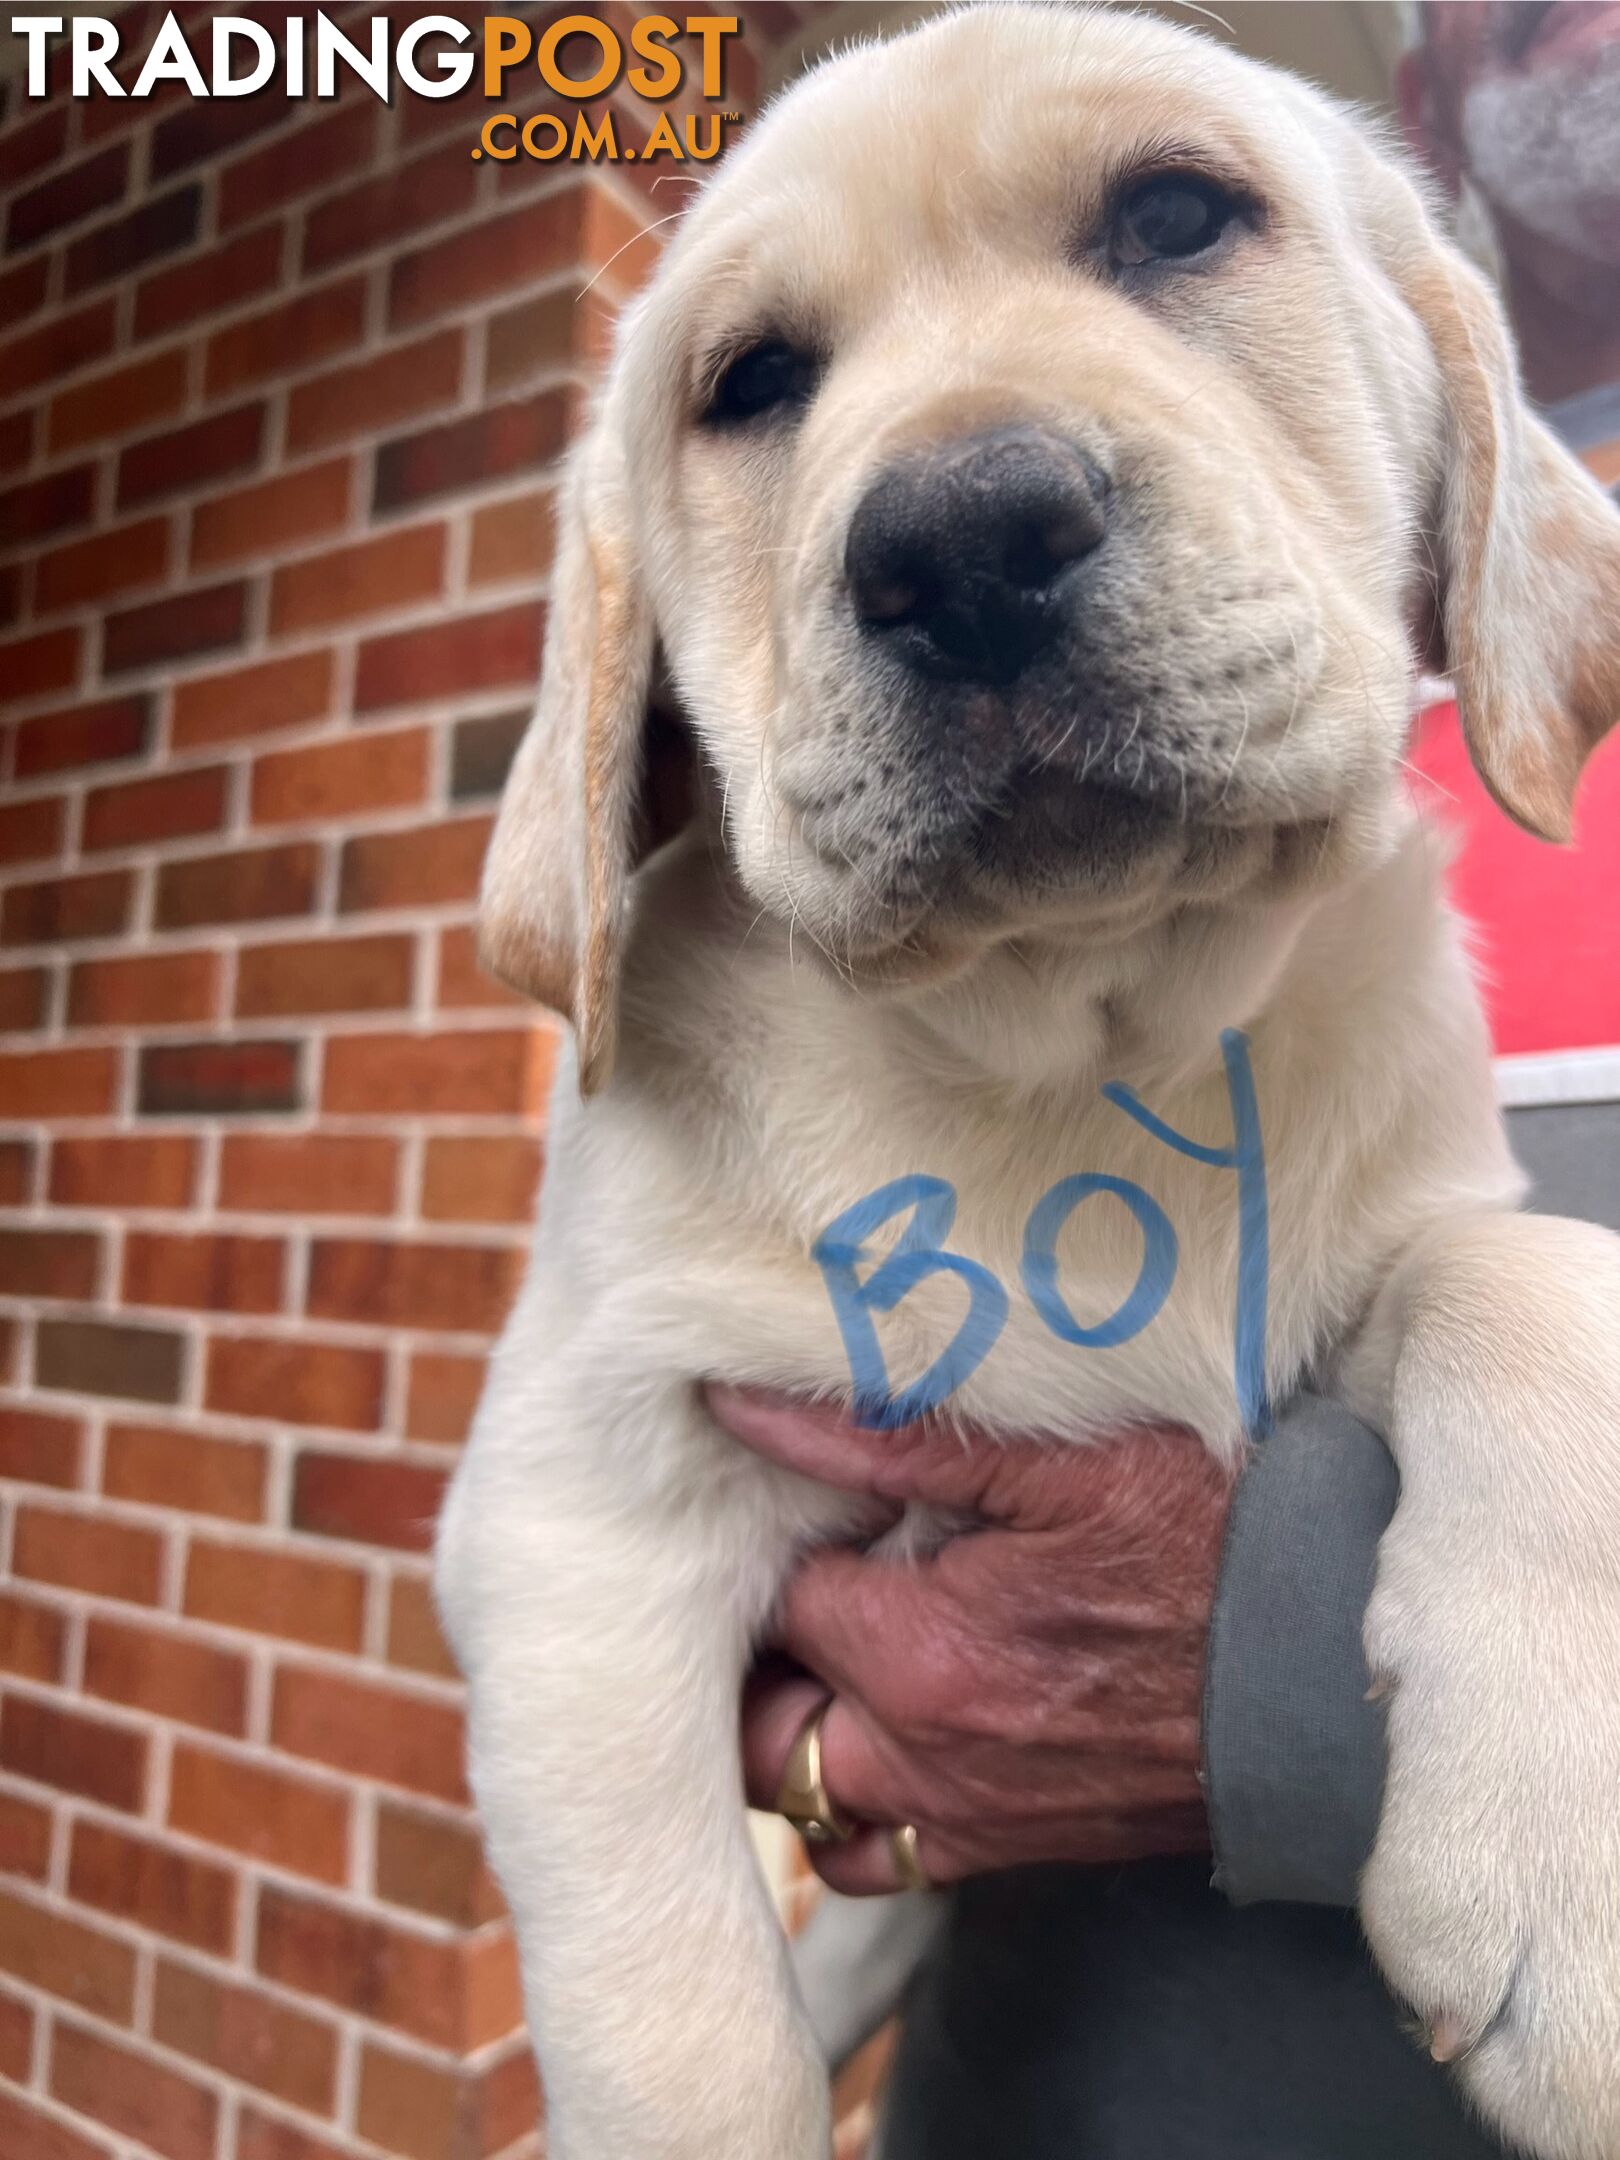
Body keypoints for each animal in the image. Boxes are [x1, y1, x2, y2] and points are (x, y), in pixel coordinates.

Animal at [432, 8, 1620, 2151]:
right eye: (751, 384)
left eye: (1177, 218)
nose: (963, 540)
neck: (1078, 1031)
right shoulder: (576, 1513)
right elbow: (681, 2023)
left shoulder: (1395, 1242)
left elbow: (1532, 1273)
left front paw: (1561, 1868)